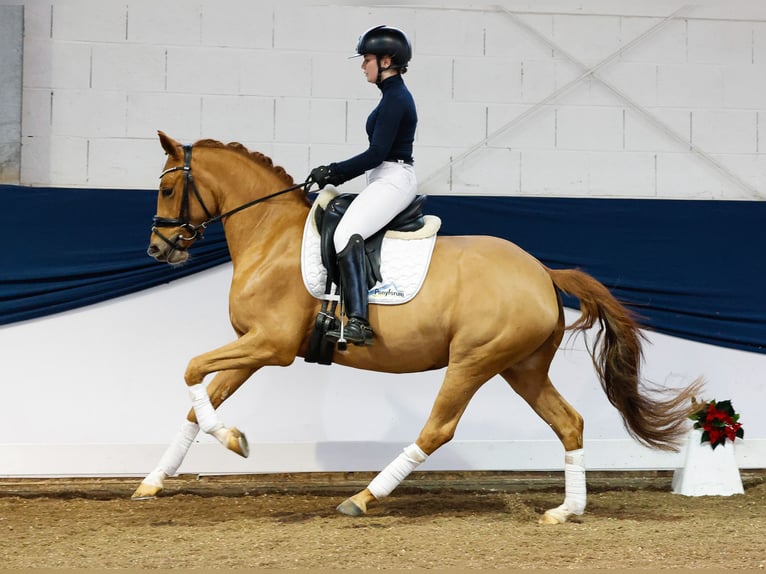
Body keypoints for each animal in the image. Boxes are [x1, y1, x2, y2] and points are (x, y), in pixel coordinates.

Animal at [136, 132, 704, 528]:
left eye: (166, 188)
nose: (158, 250)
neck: (269, 235)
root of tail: (542, 272)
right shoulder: (252, 348)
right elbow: (197, 403)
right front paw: (153, 482)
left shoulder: (269, 345)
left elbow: (191, 369)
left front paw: (235, 441)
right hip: (521, 368)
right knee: (569, 422)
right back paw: (567, 511)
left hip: (473, 361)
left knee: (438, 428)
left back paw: (363, 498)